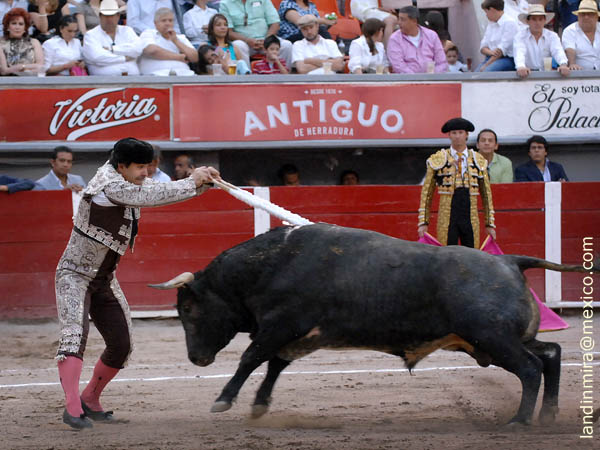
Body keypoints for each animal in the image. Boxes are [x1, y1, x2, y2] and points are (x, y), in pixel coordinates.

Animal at [149, 223, 597, 425]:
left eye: (188, 310)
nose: (196, 359)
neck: (268, 266)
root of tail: (510, 262)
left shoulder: (279, 326)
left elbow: (250, 358)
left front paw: (223, 399)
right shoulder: (298, 336)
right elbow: (274, 364)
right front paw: (259, 405)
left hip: (492, 338)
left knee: (531, 367)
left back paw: (520, 421)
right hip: (494, 342)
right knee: (551, 353)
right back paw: (548, 415)